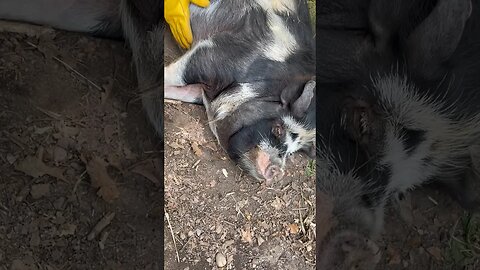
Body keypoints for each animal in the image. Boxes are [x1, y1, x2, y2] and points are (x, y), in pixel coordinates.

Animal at [163, 0, 316, 182]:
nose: (278, 172)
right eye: (278, 129)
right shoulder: (210, 56)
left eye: (293, 151)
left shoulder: (200, 91)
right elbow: (174, 75)